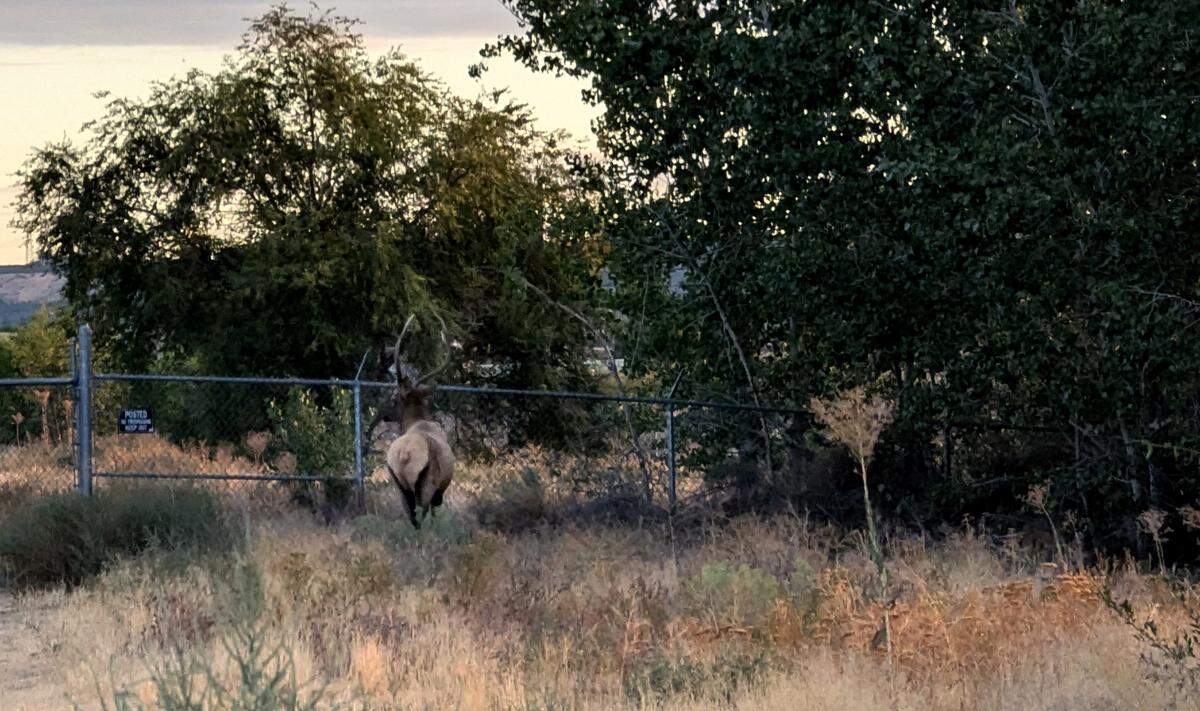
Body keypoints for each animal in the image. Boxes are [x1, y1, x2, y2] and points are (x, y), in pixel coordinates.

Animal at [365, 315, 455, 529]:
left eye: (393, 398)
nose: (384, 415)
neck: (418, 420)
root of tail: (405, 455)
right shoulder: (440, 490)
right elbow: (435, 514)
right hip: (427, 483)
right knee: (422, 514)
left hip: (399, 484)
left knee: (411, 516)